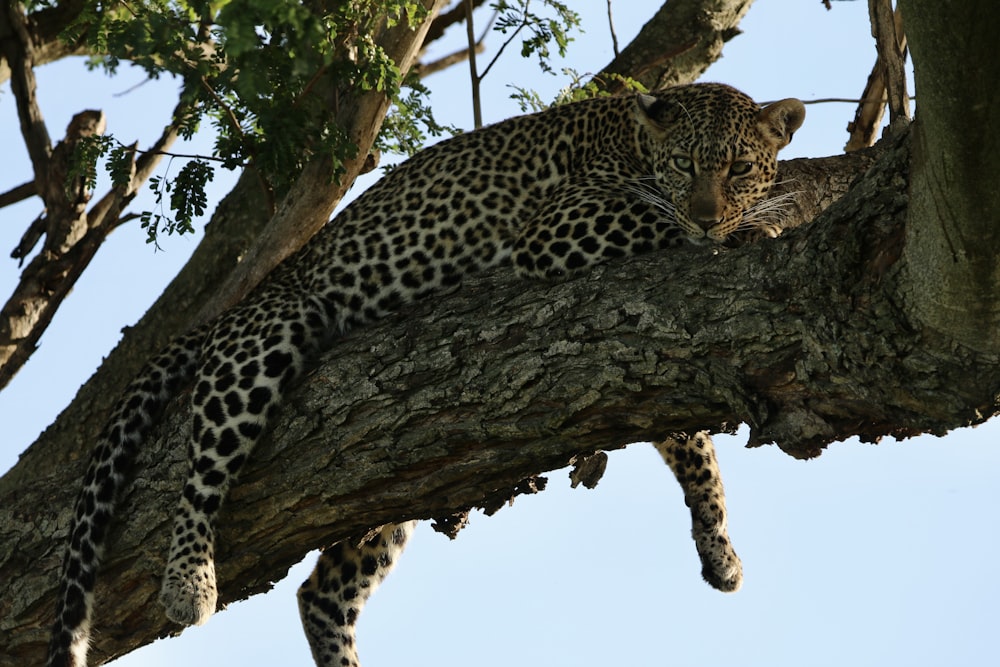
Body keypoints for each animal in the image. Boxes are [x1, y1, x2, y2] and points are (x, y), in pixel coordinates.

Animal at [48, 83, 804, 667]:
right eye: (684, 165)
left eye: (740, 167)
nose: (709, 214)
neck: (641, 143)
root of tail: (250, 293)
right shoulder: (562, 226)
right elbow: (657, 222)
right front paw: (747, 232)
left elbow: (690, 442)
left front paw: (718, 545)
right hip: (264, 340)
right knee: (202, 471)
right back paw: (188, 581)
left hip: (393, 480)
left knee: (322, 592)